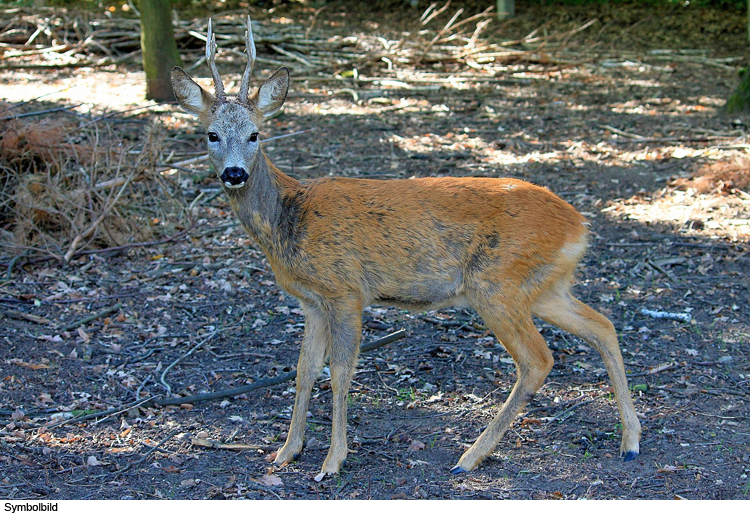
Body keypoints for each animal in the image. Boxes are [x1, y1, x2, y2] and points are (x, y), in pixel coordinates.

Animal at [170, 17, 640, 478]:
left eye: (255, 135)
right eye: (211, 135)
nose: (234, 173)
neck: (289, 218)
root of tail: (579, 226)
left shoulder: (345, 290)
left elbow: (340, 371)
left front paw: (332, 460)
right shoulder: (311, 301)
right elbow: (303, 370)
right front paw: (287, 451)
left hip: (497, 282)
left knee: (539, 359)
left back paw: (470, 456)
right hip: (543, 286)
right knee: (603, 325)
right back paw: (630, 442)